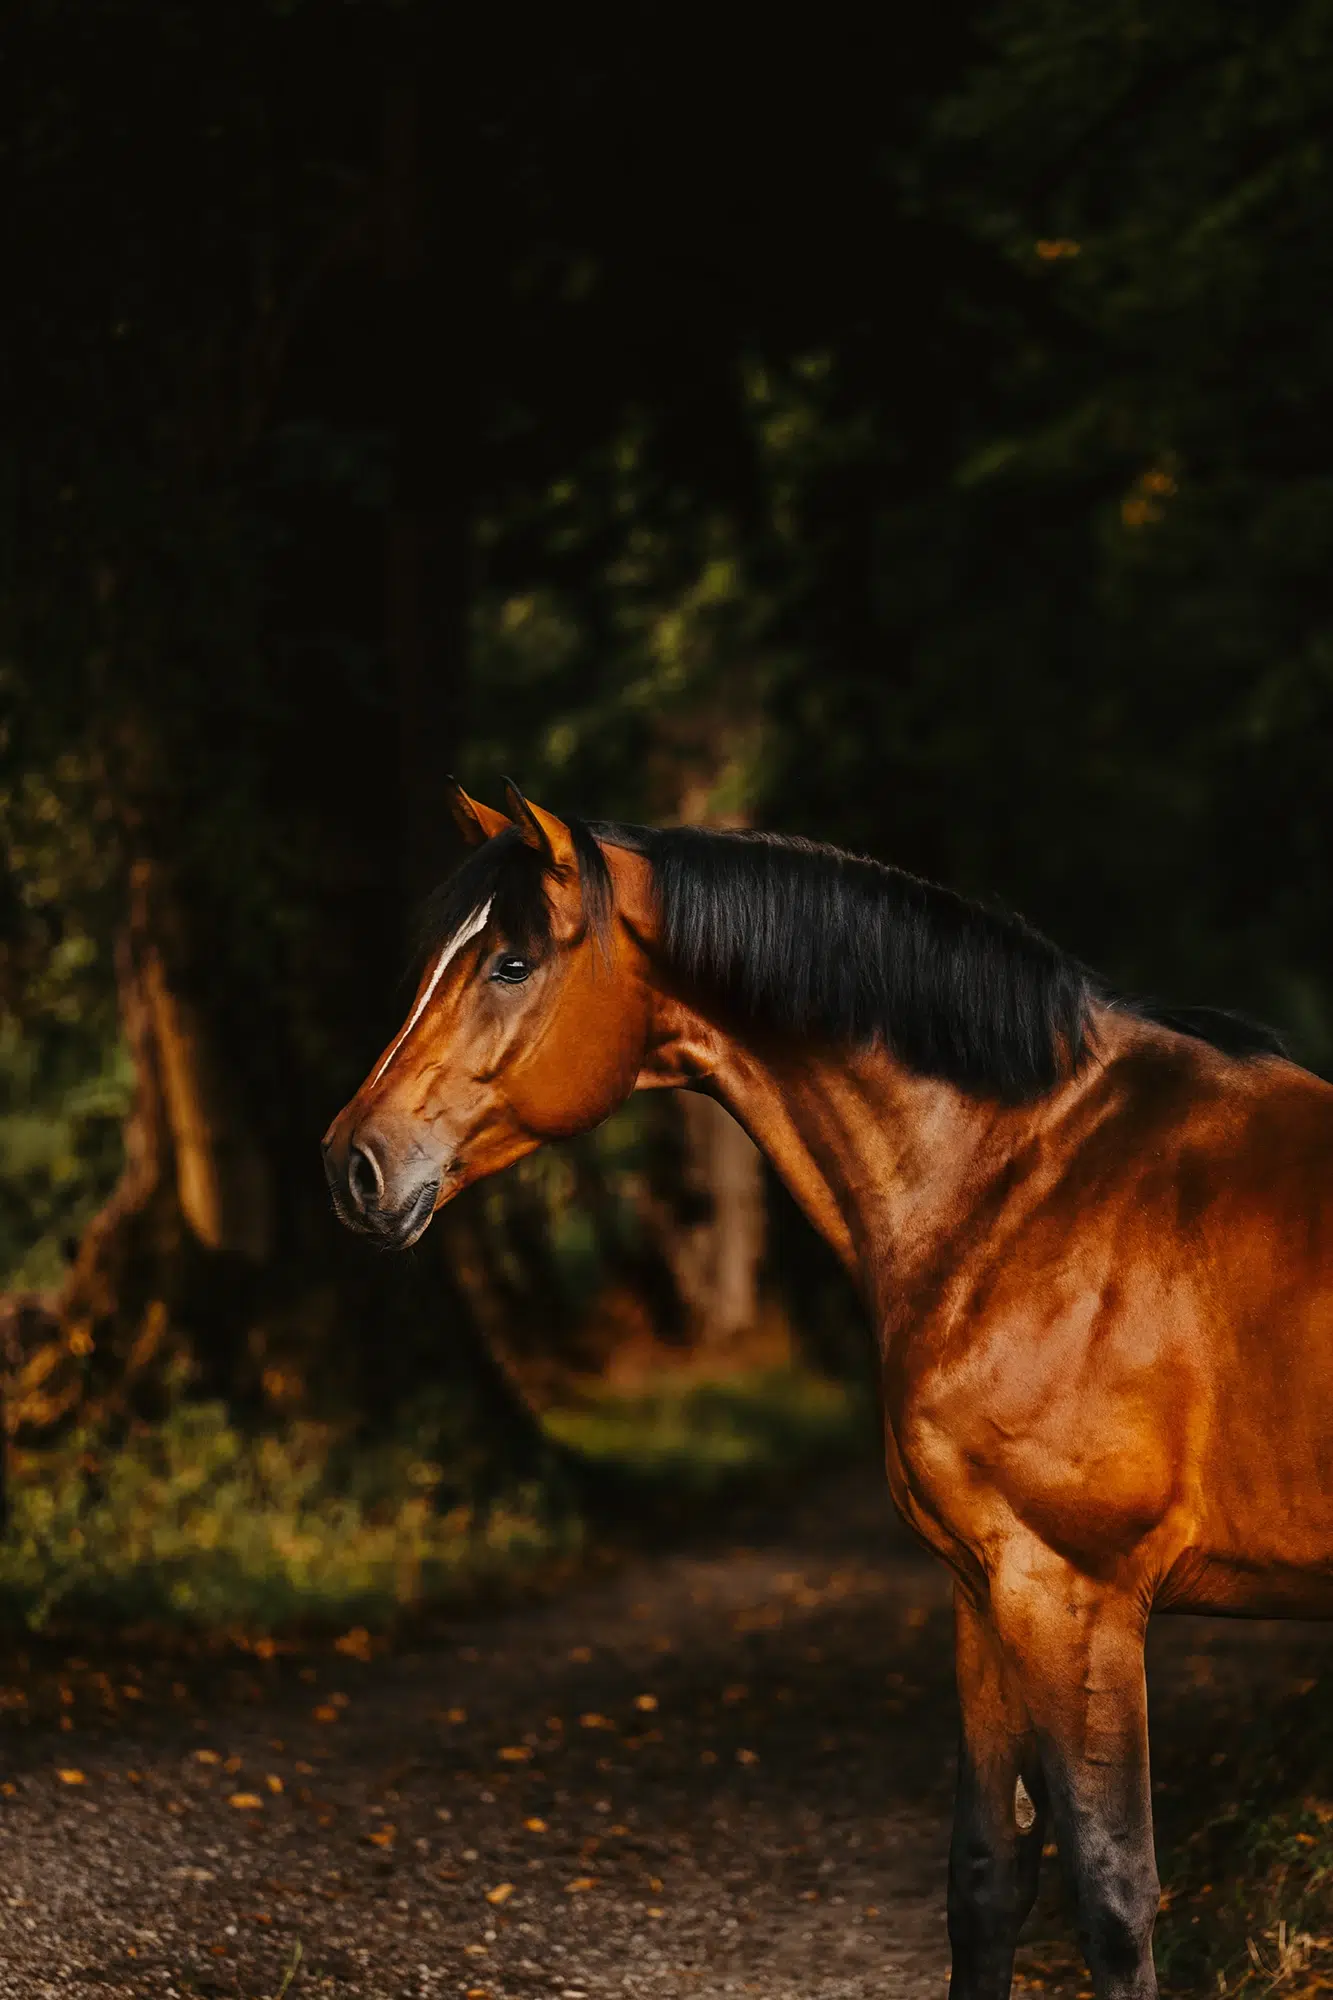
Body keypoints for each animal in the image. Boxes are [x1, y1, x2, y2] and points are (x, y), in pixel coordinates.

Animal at [324, 784, 1328, 2000]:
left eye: (510, 964)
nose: (353, 1163)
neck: (1033, 1179)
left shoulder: (1075, 1595)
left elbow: (1112, 1895)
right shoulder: (986, 1589)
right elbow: (986, 1878)